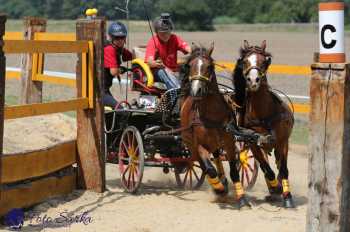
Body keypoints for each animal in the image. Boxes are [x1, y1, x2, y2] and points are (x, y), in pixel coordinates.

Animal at [180, 43, 252, 208]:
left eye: (209, 66)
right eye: (190, 65)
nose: (196, 90)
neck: (212, 114)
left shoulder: (229, 142)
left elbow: (234, 171)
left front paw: (242, 198)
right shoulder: (199, 145)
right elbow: (209, 169)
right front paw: (219, 189)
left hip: (215, 143)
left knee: (217, 157)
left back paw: (223, 181)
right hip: (191, 145)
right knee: (202, 165)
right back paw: (218, 186)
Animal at [232, 40, 296, 208]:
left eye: (264, 61)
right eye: (245, 61)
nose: (253, 81)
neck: (264, 114)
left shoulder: (283, 142)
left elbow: (284, 169)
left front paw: (287, 196)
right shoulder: (252, 142)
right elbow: (266, 168)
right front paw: (275, 188)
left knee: (279, 164)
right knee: (265, 165)